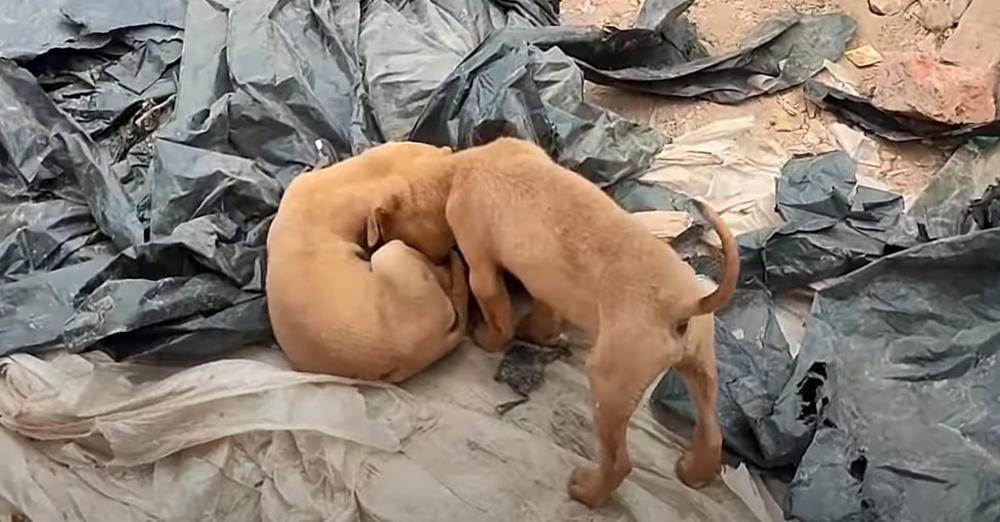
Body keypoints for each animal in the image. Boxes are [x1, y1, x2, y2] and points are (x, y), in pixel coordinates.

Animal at [372, 137, 740, 504]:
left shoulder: (481, 269)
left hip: (610, 385)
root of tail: (684, 304)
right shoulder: (545, 283)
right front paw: (538, 333)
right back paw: (695, 472)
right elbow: (544, 314)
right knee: (712, 433)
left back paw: (588, 492)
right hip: (699, 368)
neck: (459, 168)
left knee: (619, 463)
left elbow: (499, 317)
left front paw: (488, 338)